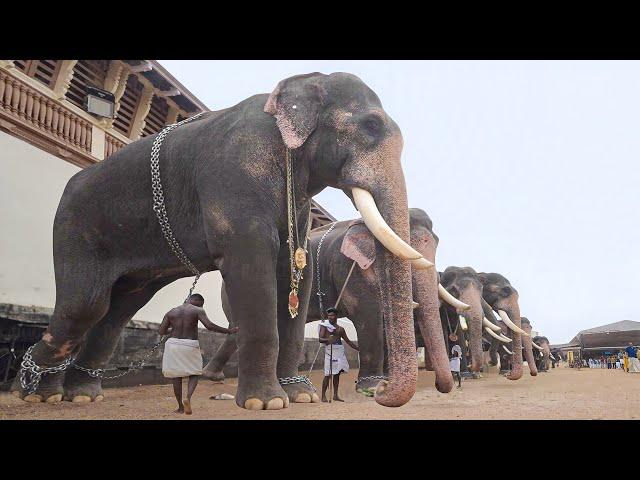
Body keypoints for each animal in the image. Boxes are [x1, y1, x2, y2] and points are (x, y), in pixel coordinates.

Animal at [12, 71, 430, 408]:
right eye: (371, 126)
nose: (378, 393)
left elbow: (297, 271)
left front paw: (301, 396)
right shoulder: (233, 177)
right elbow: (252, 264)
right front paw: (266, 403)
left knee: (117, 311)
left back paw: (79, 394)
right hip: (75, 227)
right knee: (86, 305)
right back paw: (33, 390)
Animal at [202, 208, 458, 396]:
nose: (440, 386)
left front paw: (385, 380)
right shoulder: (349, 269)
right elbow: (369, 316)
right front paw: (373, 387)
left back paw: (216, 376)